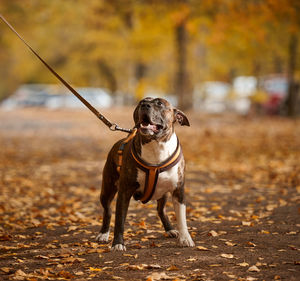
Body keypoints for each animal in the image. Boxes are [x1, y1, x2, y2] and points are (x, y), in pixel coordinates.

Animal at [95, 96, 195, 249]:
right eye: (141, 102)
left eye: (159, 103)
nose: (145, 105)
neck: (156, 145)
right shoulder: (124, 192)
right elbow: (119, 220)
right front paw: (118, 243)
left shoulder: (179, 191)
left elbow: (182, 218)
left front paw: (185, 238)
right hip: (107, 190)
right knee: (108, 211)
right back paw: (103, 234)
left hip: (163, 194)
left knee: (161, 210)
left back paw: (170, 229)